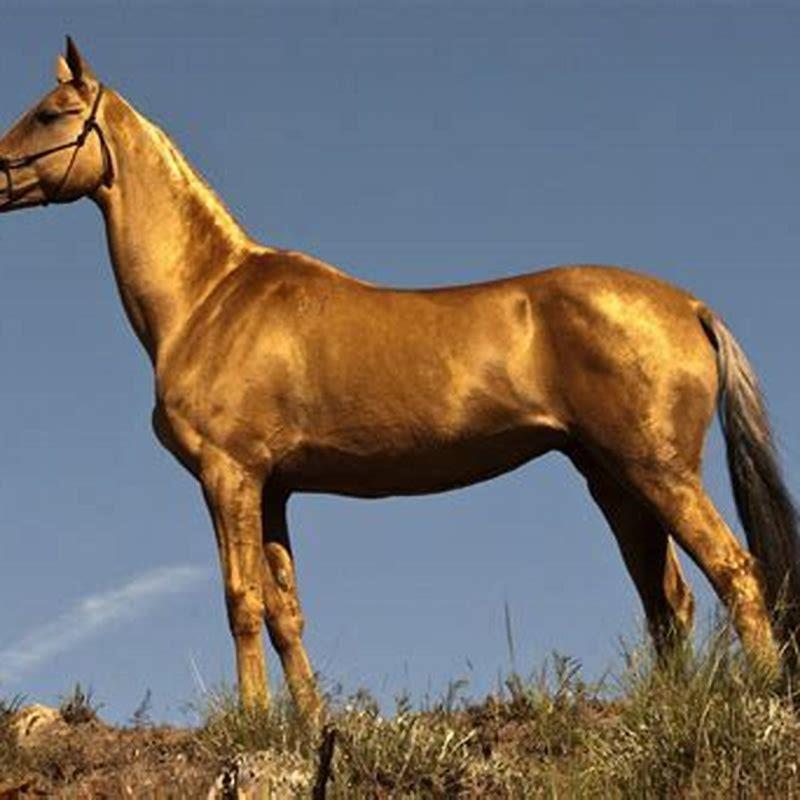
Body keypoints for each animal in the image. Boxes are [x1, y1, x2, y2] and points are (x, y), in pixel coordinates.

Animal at [1, 39, 798, 716]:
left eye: (51, 113)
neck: (209, 296)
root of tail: (689, 306)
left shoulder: (229, 475)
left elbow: (241, 601)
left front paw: (253, 722)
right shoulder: (274, 486)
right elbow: (286, 609)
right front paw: (308, 723)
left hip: (658, 470)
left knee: (734, 572)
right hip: (613, 476)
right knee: (666, 599)